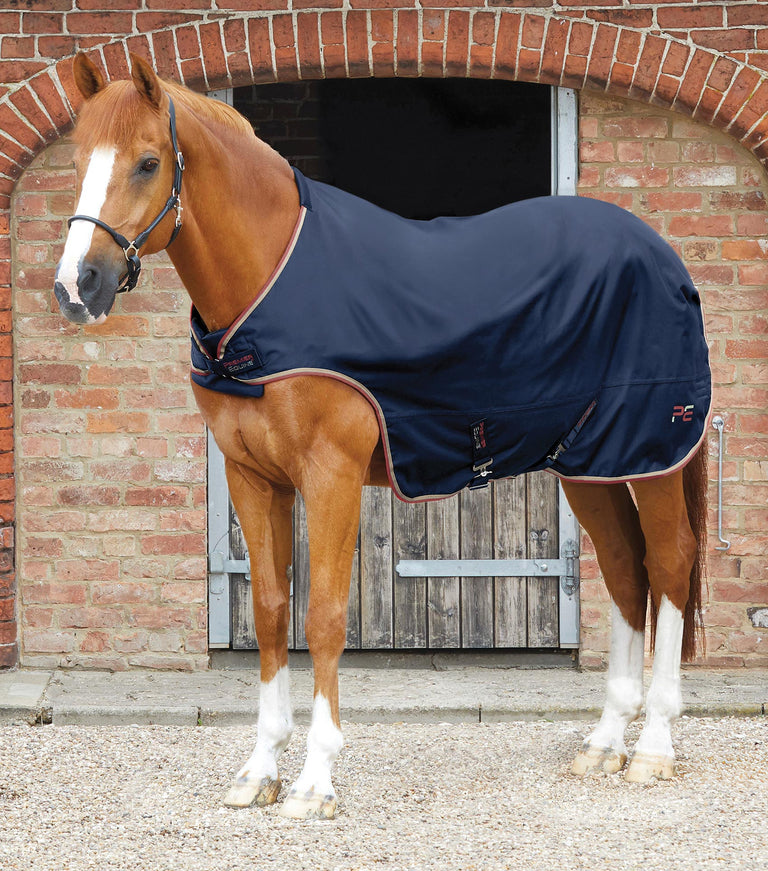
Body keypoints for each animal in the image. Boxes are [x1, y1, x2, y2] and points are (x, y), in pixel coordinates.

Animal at [54, 53, 709, 820]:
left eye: (148, 162)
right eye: (78, 160)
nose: (77, 286)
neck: (270, 284)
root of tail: (660, 254)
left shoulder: (330, 473)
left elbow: (325, 617)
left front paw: (314, 782)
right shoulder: (253, 476)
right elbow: (271, 611)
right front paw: (260, 770)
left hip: (651, 453)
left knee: (670, 562)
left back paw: (654, 746)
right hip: (588, 462)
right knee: (627, 569)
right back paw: (605, 743)